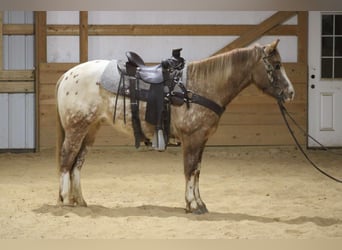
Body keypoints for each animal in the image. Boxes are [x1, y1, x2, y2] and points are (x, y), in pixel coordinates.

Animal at [55, 39, 294, 213]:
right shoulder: (192, 138)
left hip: (90, 130)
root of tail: (66, 75)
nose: (290, 93)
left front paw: (199, 203)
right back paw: (65, 200)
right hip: (76, 128)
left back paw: (80, 201)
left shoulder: (202, 139)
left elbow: (197, 171)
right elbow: (189, 169)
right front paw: (193, 205)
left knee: (77, 163)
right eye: (276, 66)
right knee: (67, 159)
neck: (199, 87)